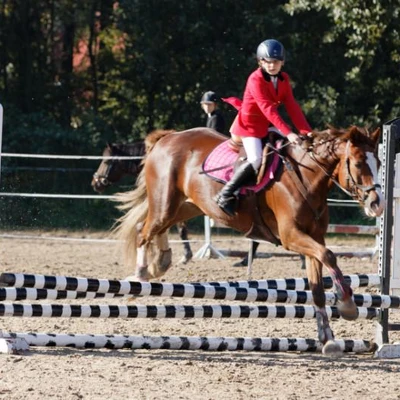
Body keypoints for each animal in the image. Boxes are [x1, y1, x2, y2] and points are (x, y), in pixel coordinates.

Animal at [115, 126, 384, 356]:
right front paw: (347, 304)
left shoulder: (313, 239)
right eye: (358, 163)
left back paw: (161, 262)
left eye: (380, 163)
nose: (377, 204)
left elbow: (318, 287)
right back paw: (141, 274)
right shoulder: (292, 237)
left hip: (188, 206)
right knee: (144, 232)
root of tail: (168, 138)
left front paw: (328, 339)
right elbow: (329, 255)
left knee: (150, 227)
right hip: (166, 203)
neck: (307, 176)